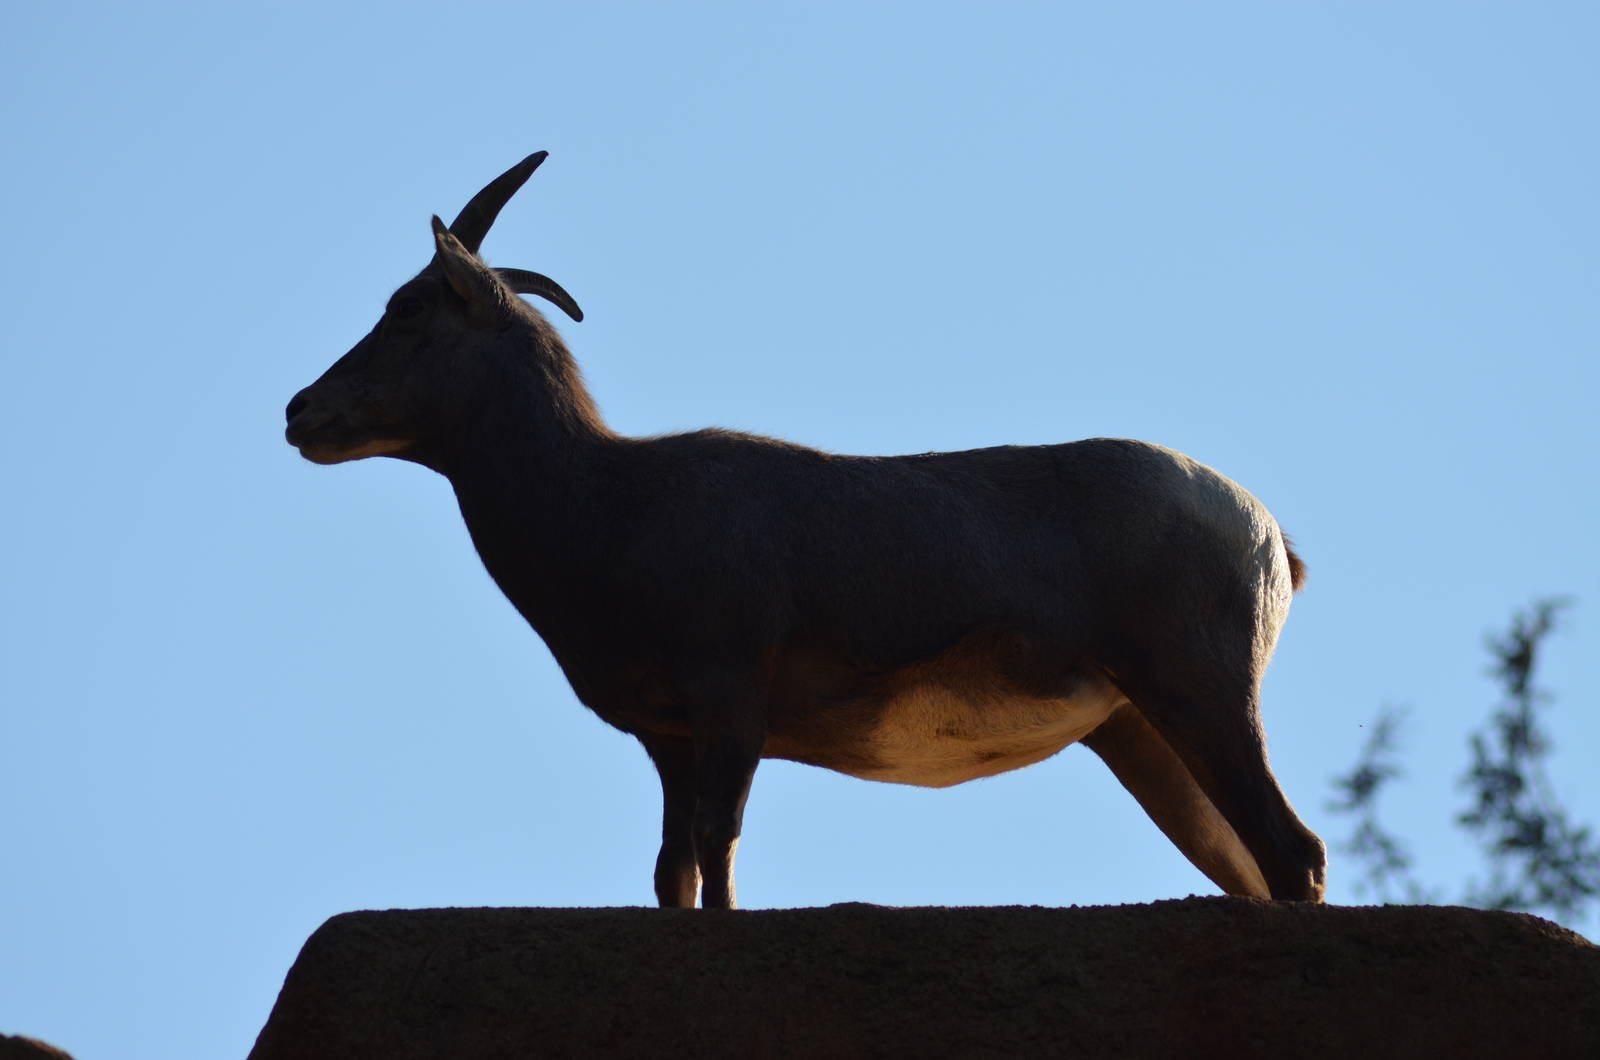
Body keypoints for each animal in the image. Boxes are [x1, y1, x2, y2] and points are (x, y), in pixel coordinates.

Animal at [285, 151, 1327, 909]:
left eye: (409, 308)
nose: (300, 412)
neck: (610, 512)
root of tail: (1271, 541)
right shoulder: (670, 739)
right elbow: (672, 873)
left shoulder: (730, 692)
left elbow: (719, 855)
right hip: (1141, 732)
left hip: (1201, 687)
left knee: (1296, 851)